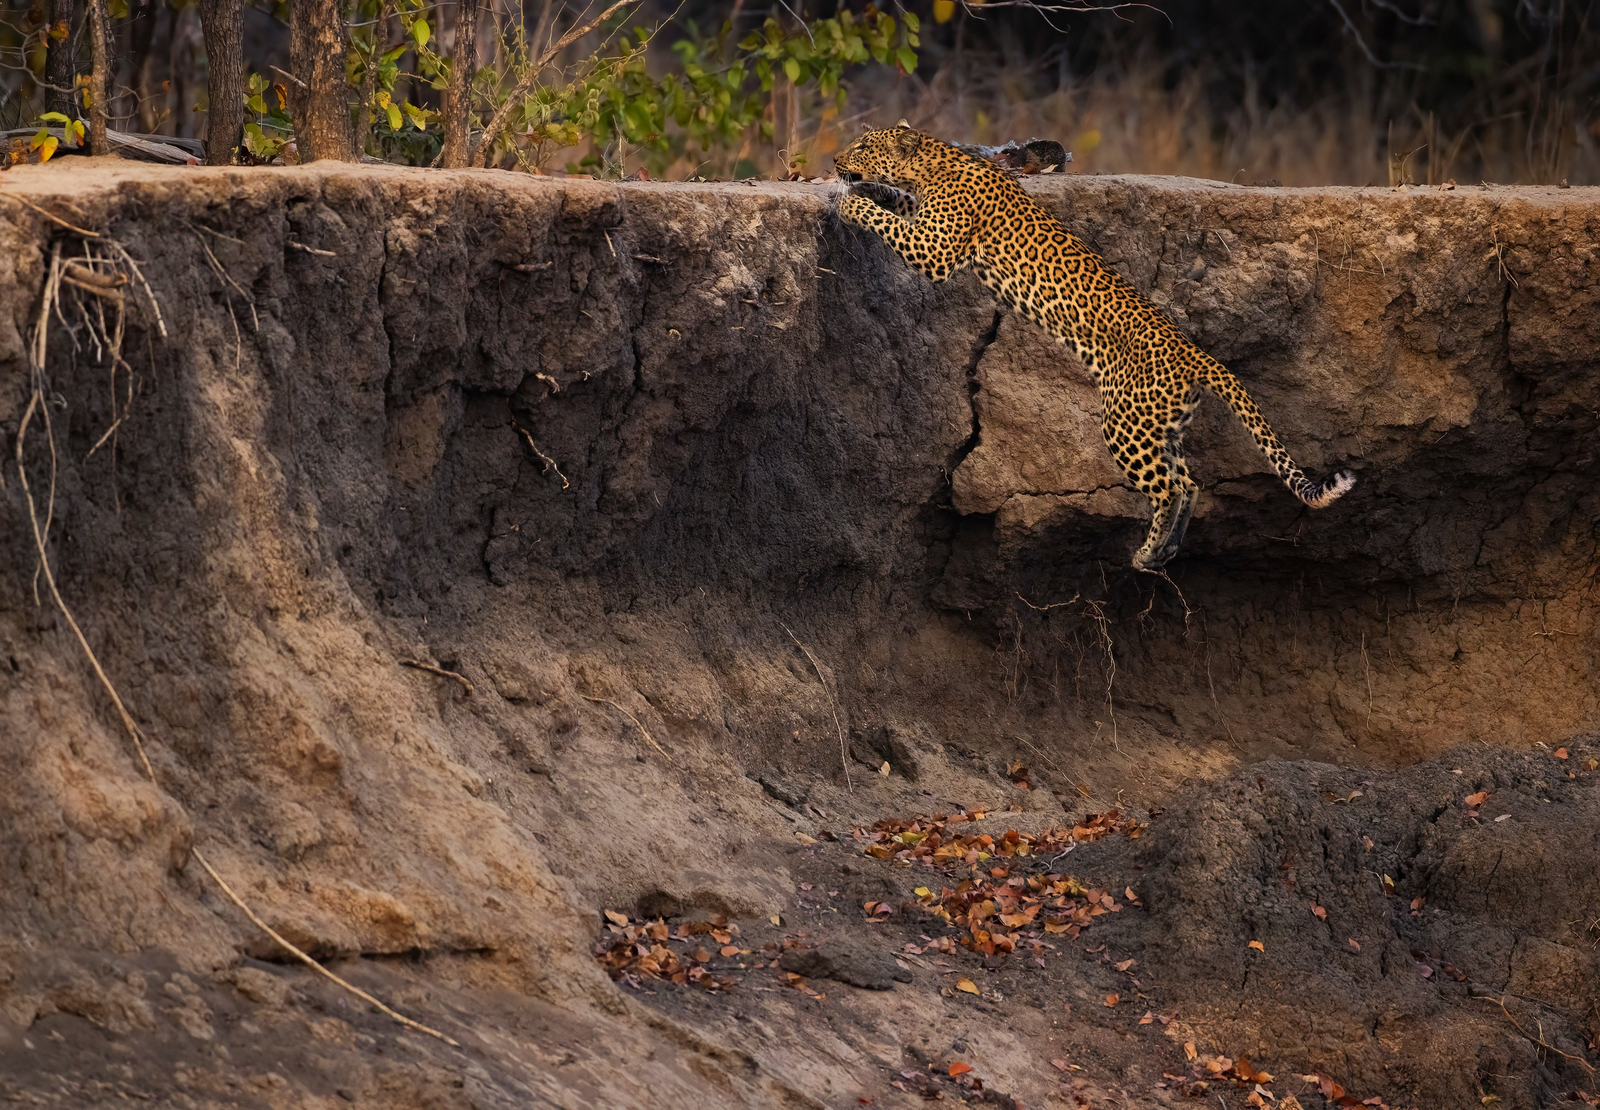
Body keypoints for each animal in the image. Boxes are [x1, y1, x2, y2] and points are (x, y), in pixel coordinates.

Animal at [834, 122, 1355, 570]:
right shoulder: (924, 222)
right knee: (1188, 481)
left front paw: (850, 204)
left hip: (1125, 424)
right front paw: (868, 191)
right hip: (1160, 426)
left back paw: (1147, 552)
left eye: (861, 147)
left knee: (1168, 488)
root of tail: (1199, 355)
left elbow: (886, 221)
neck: (933, 162)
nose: (836, 159)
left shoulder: (936, 249)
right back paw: (1165, 551)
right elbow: (895, 202)